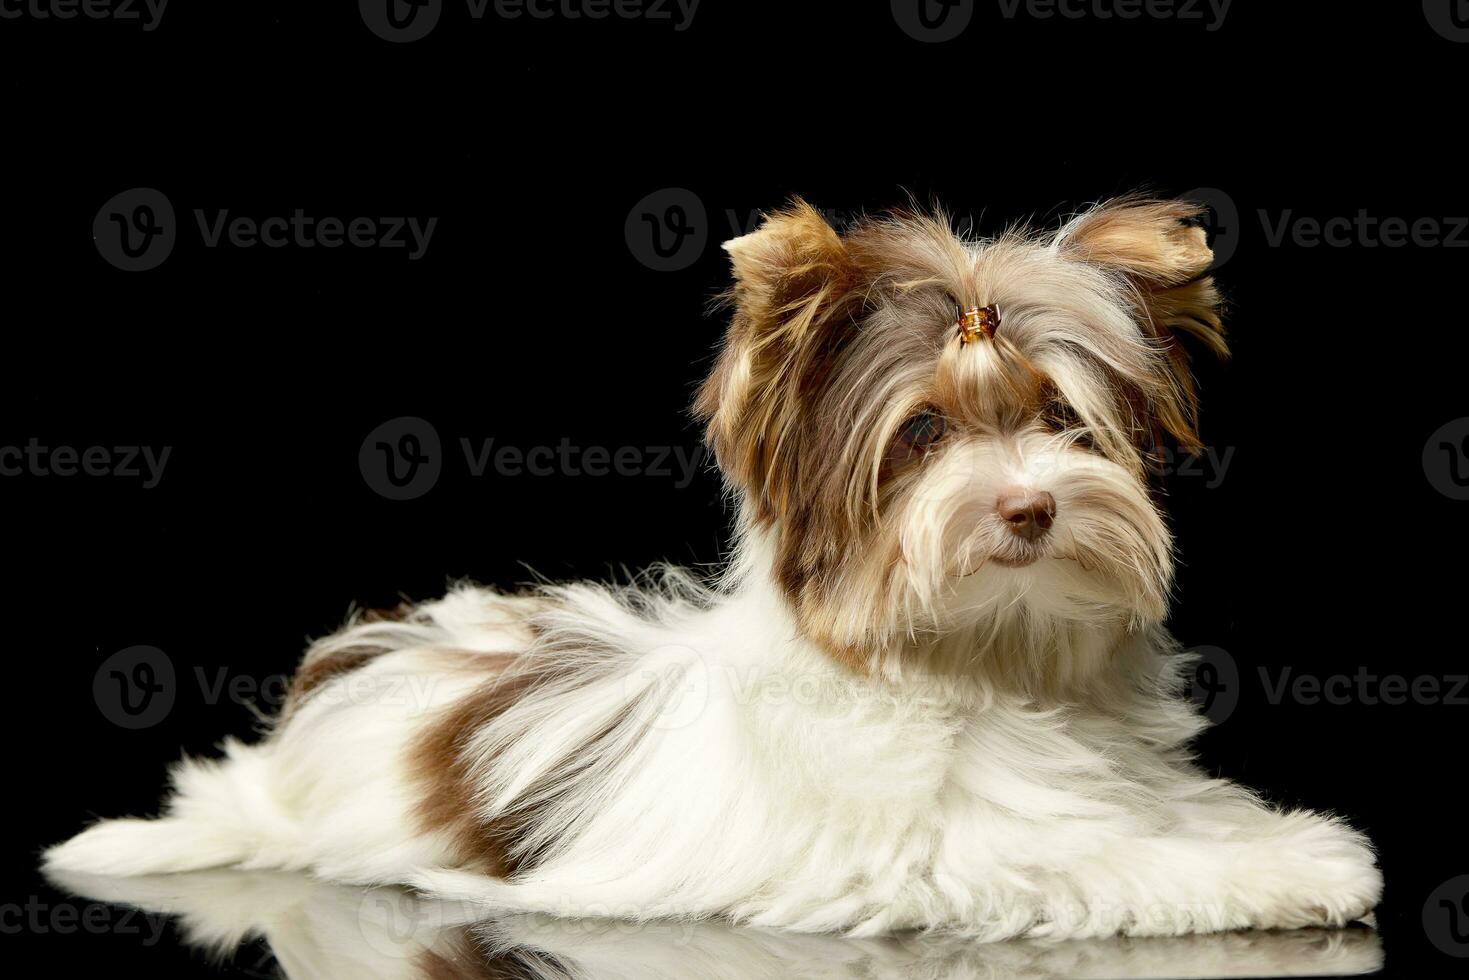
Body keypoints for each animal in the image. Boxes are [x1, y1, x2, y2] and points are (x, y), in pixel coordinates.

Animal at [45, 195, 1374, 940]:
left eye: (1060, 418)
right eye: (921, 434)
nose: (1030, 503)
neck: (986, 653)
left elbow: (1165, 812)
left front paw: (1275, 837)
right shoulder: (945, 853)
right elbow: (1094, 857)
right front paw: (1289, 866)